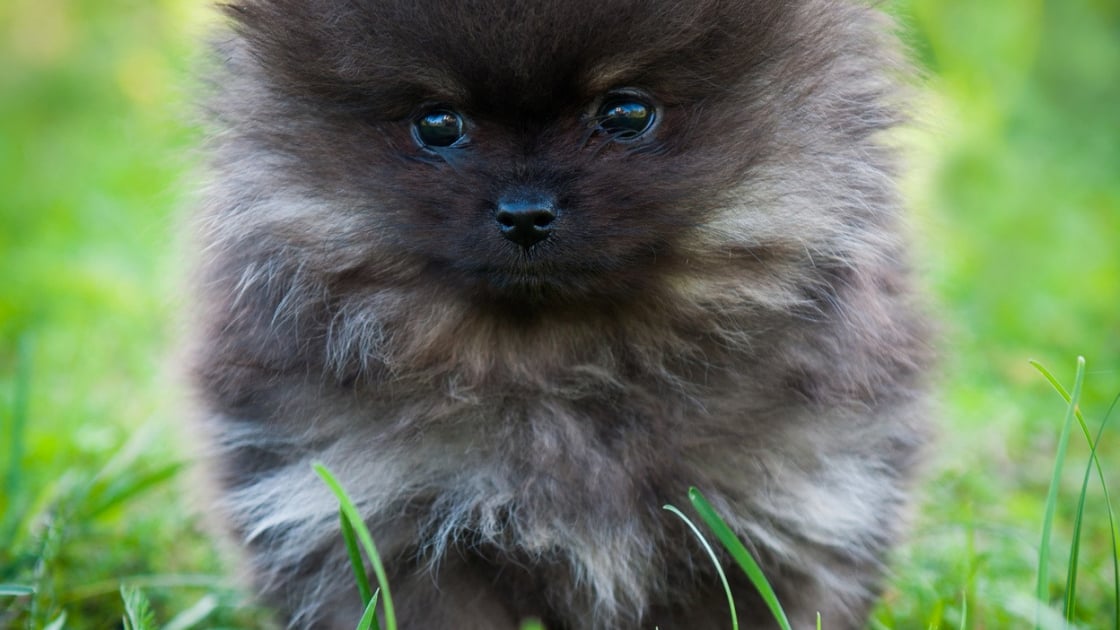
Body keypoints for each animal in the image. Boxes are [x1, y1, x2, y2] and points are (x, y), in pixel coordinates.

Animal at [188, 2, 931, 623]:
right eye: (437, 123)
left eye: (626, 113)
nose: (525, 213)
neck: (564, 367)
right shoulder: (383, 522)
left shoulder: (784, 514)